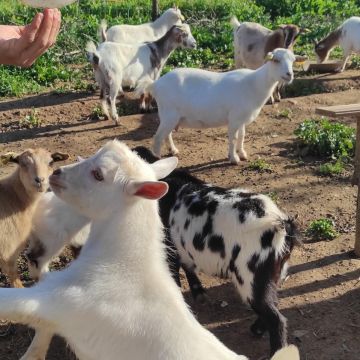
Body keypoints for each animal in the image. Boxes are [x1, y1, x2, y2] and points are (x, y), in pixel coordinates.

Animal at [135, 147, 300, 358]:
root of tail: (281, 224)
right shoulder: (182, 249)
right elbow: (188, 267)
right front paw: (199, 293)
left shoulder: (170, 250)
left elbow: (176, 277)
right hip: (274, 273)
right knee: (272, 304)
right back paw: (256, 329)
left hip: (251, 277)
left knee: (275, 317)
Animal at [142, 48, 306, 163]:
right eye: (276, 60)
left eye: (293, 61)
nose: (289, 75)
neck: (254, 84)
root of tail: (156, 85)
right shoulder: (234, 118)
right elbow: (233, 138)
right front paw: (234, 159)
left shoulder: (242, 118)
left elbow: (242, 136)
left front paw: (242, 154)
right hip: (169, 113)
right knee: (158, 137)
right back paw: (157, 158)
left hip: (170, 115)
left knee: (166, 134)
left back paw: (173, 151)